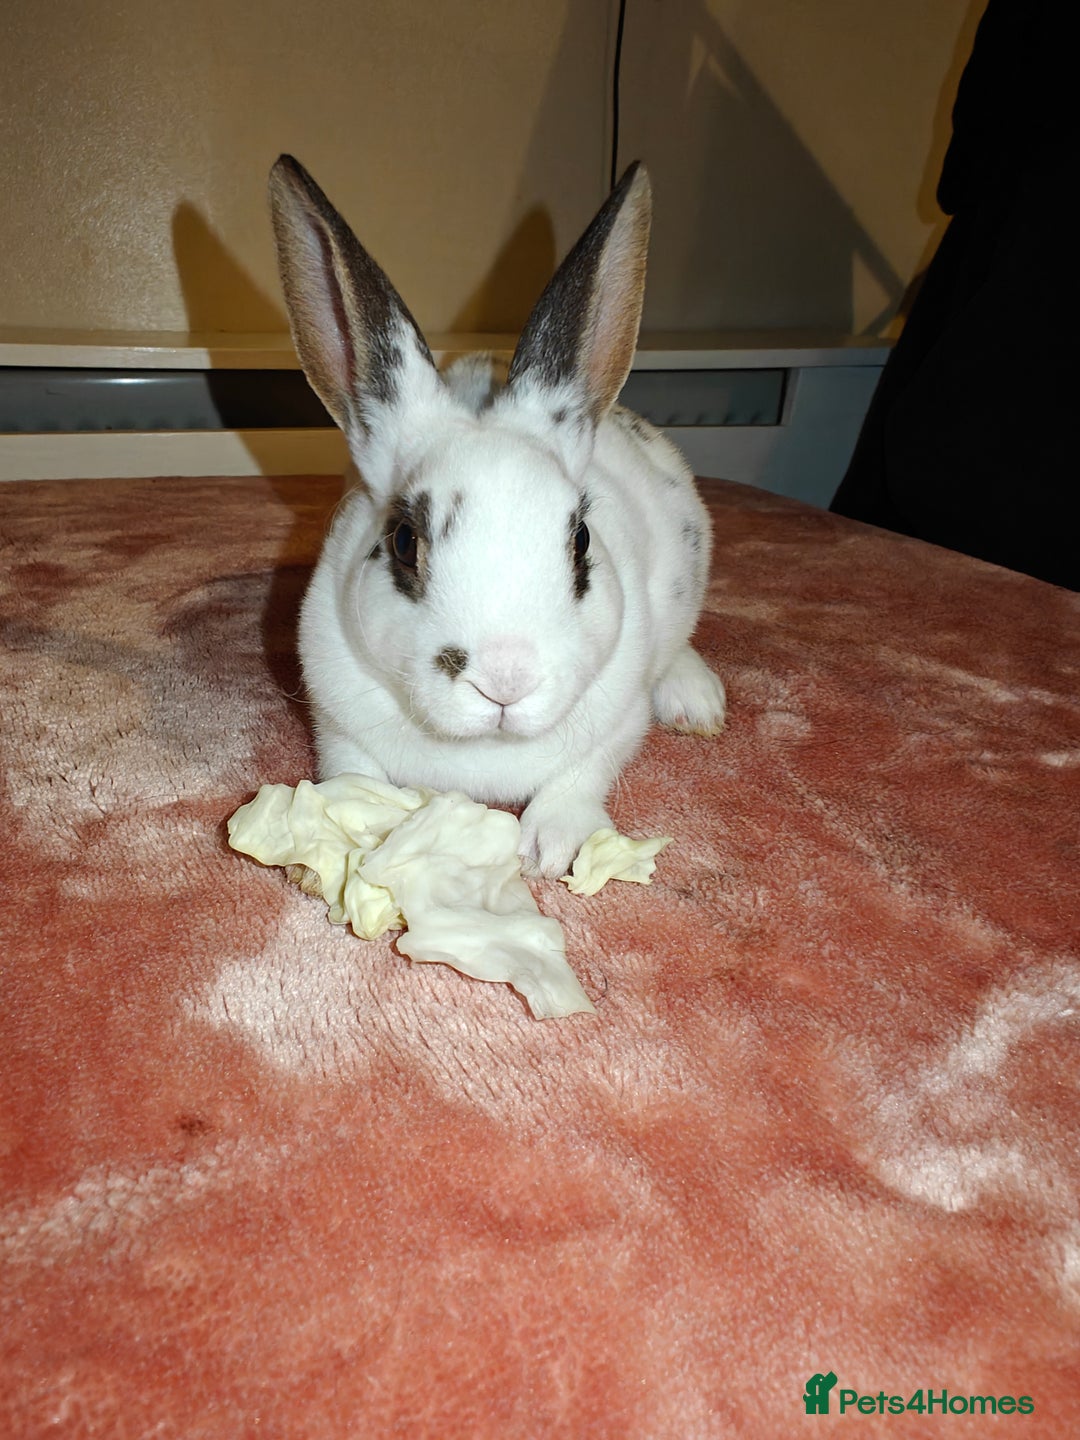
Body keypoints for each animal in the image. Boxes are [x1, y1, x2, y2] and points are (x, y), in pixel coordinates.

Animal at [268, 154, 726, 878]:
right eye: (404, 540)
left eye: (581, 539)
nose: (505, 683)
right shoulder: (333, 717)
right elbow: (351, 771)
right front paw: (333, 838)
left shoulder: (618, 719)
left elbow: (585, 773)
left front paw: (558, 847)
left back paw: (695, 701)